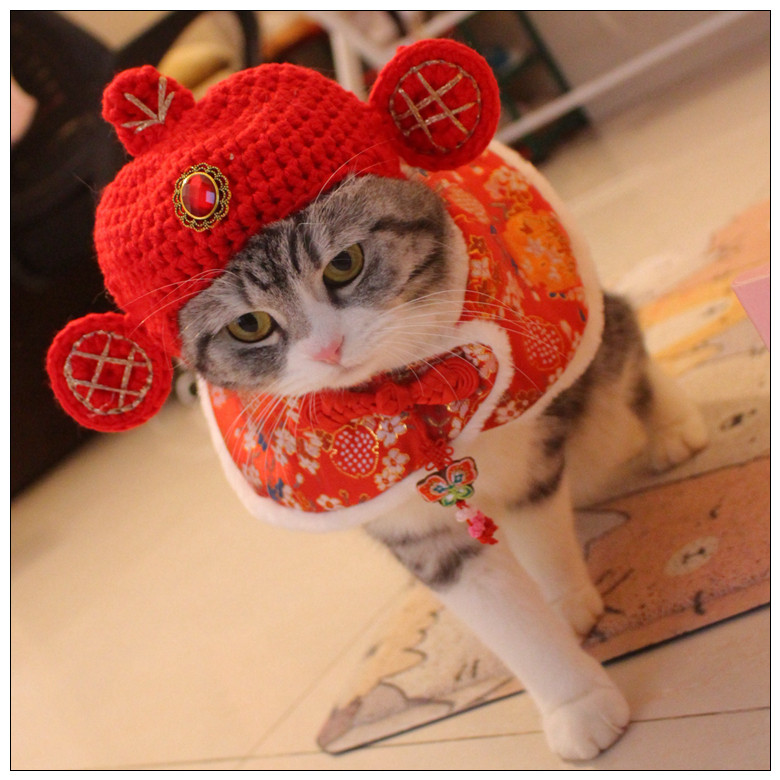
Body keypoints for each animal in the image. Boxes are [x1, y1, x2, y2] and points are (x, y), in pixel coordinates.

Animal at [178, 147, 708, 760]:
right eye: (250, 325)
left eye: (345, 264)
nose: (329, 349)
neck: (400, 396)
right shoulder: (411, 526)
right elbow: (500, 614)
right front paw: (577, 705)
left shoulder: (527, 448)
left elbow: (538, 530)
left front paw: (565, 604)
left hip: (588, 350)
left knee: (624, 355)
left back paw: (674, 428)